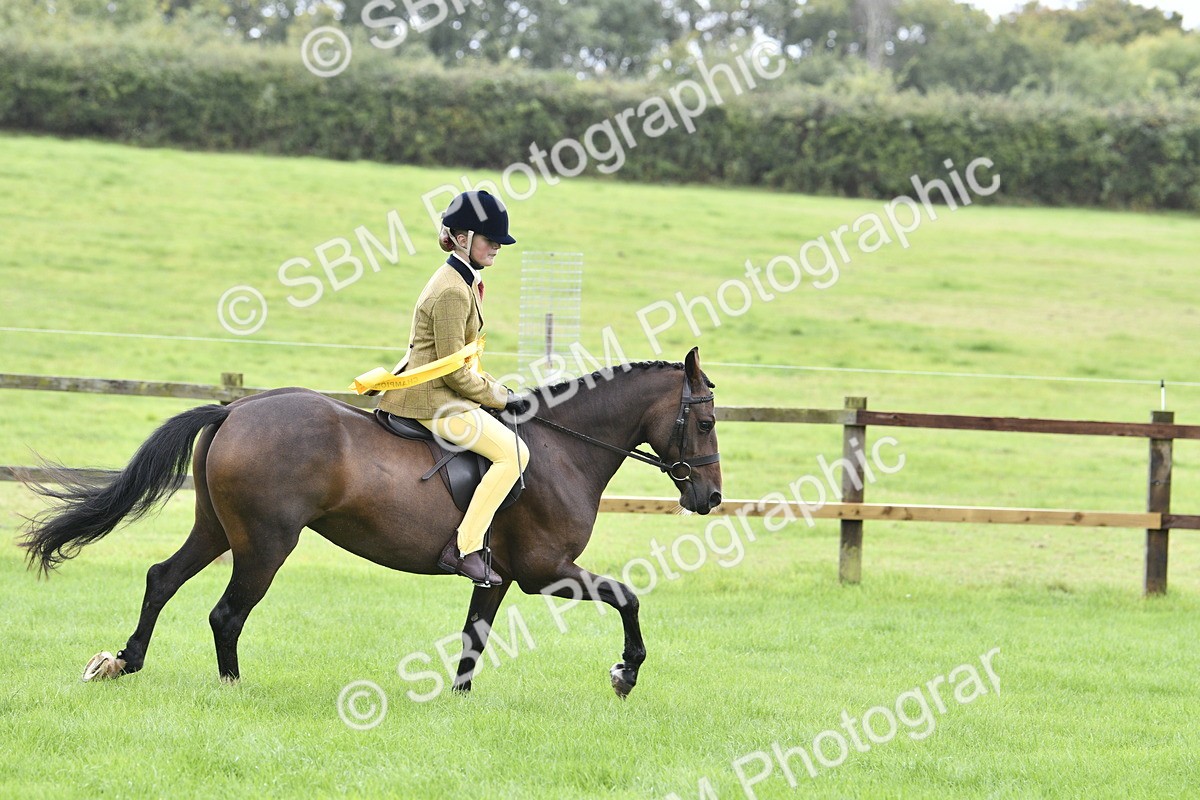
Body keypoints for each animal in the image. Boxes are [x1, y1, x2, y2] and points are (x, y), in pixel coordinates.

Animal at [19, 347, 722, 698]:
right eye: (707, 421)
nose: (711, 496)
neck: (562, 448)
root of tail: (235, 410)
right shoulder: (545, 571)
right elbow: (628, 597)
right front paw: (626, 674)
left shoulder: (495, 578)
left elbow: (474, 637)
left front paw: (457, 702)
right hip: (266, 543)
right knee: (227, 613)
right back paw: (231, 688)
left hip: (217, 529)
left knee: (162, 579)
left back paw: (124, 662)